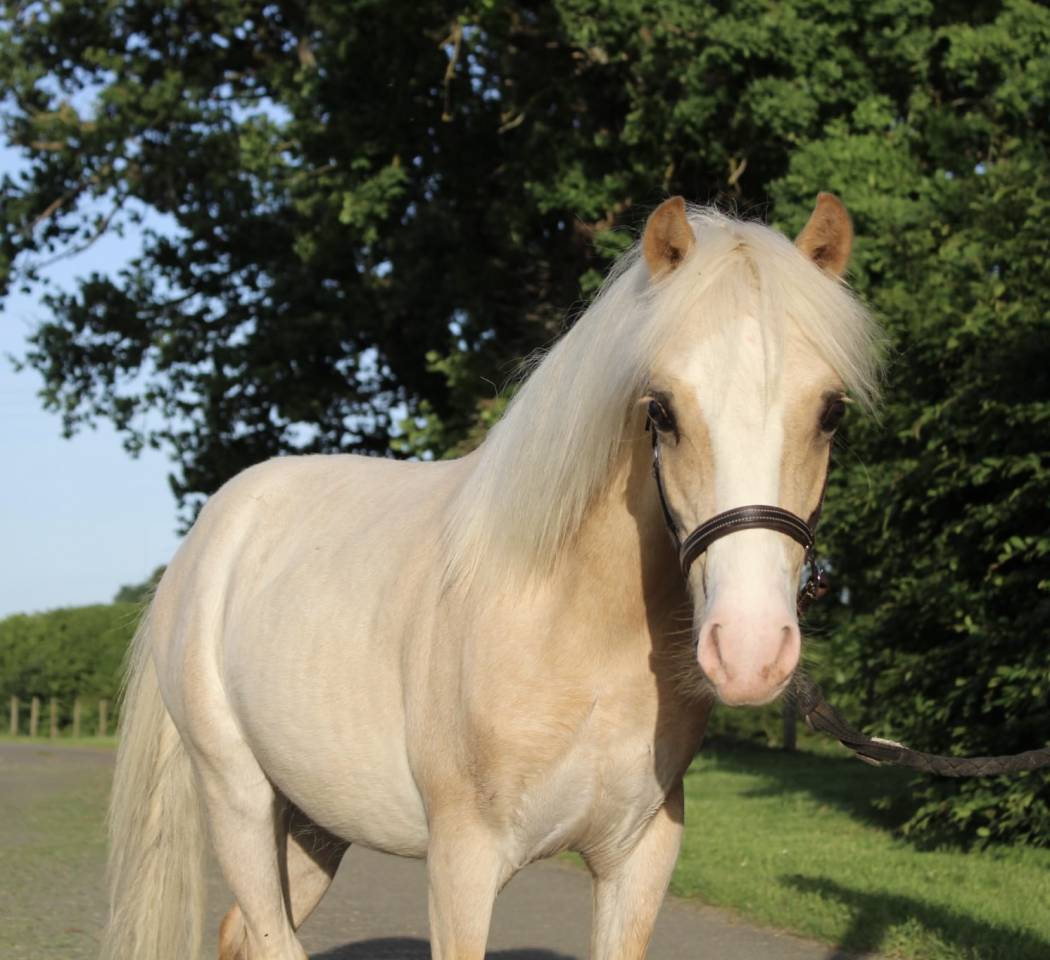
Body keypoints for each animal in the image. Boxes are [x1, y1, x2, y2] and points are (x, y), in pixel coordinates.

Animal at [101, 193, 881, 960]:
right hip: (237, 799)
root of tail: (211, 534)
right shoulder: (462, 864)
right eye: (661, 409)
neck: (575, 629)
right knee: (267, 932)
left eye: (830, 412)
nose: (750, 649)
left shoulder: (639, 858)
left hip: (316, 821)